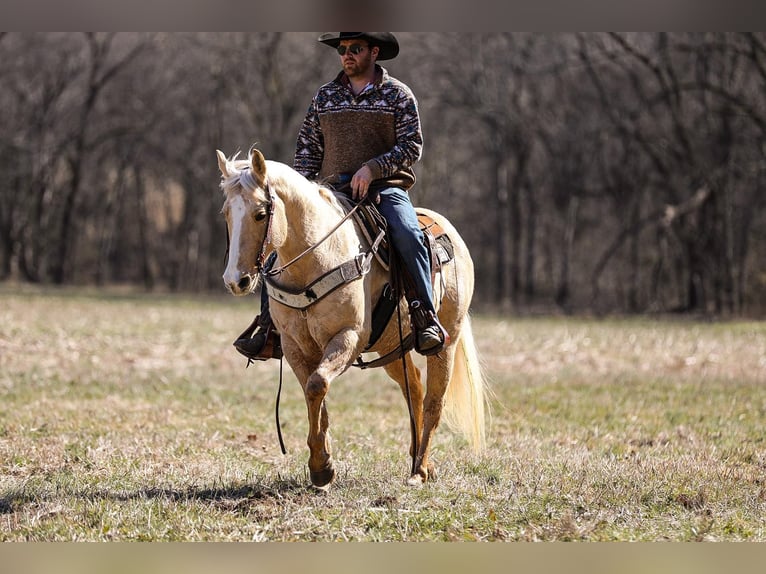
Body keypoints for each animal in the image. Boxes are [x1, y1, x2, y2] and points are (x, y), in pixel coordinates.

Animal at [219, 148, 488, 490]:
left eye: (260, 213)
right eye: (226, 213)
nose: (235, 280)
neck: (314, 259)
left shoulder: (348, 337)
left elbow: (317, 384)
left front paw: (321, 465)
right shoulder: (294, 347)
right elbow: (314, 395)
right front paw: (321, 466)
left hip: (446, 343)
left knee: (433, 402)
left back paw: (419, 470)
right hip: (390, 347)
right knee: (413, 386)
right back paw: (419, 460)